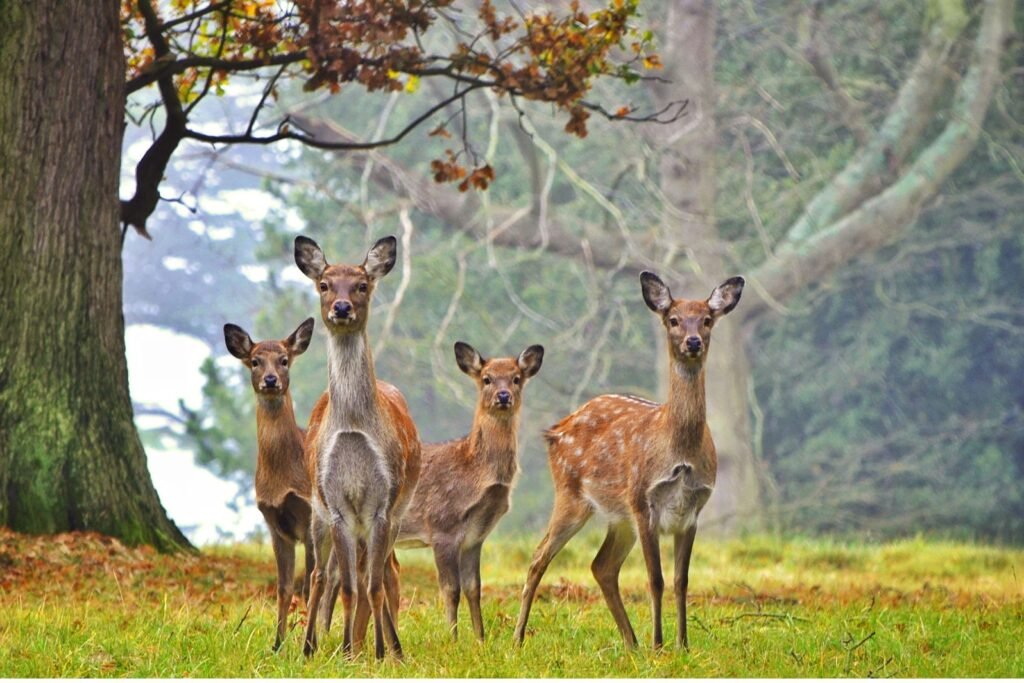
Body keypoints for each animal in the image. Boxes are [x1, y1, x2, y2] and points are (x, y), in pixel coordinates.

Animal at [223, 317, 316, 652]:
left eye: (284, 360)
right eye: (255, 361)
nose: (271, 380)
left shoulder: (311, 516)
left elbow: (310, 584)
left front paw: (308, 645)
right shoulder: (275, 524)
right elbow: (284, 587)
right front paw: (277, 645)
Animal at [294, 234, 421, 660]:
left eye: (362, 285)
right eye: (324, 284)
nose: (342, 307)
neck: (352, 428)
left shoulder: (383, 502)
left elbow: (373, 583)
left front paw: (380, 652)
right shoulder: (335, 504)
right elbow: (348, 585)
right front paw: (348, 650)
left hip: (396, 513)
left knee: (384, 572)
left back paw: (393, 646)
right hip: (316, 510)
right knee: (321, 574)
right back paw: (309, 646)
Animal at [394, 341, 544, 640]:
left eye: (516, 378)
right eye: (486, 378)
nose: (503, 396)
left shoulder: (476, 537)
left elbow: (474, 588)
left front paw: (480, 638)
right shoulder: (442, 526)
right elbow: (450, 590)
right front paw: (452, 638)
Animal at [513, 272, 744, 650]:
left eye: (707, 319)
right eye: (673, 320)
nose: (693, 342)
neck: (679, 451)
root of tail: (555, 430)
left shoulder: (693, 510)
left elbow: (681, 581)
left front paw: (682, 644)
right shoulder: (643, 500)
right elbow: (656, 579)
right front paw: (659, 645)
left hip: (618, 517)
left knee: (602, 566)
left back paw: (630, 642)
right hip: (572, 494)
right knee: (539, 556)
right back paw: (518, 638)